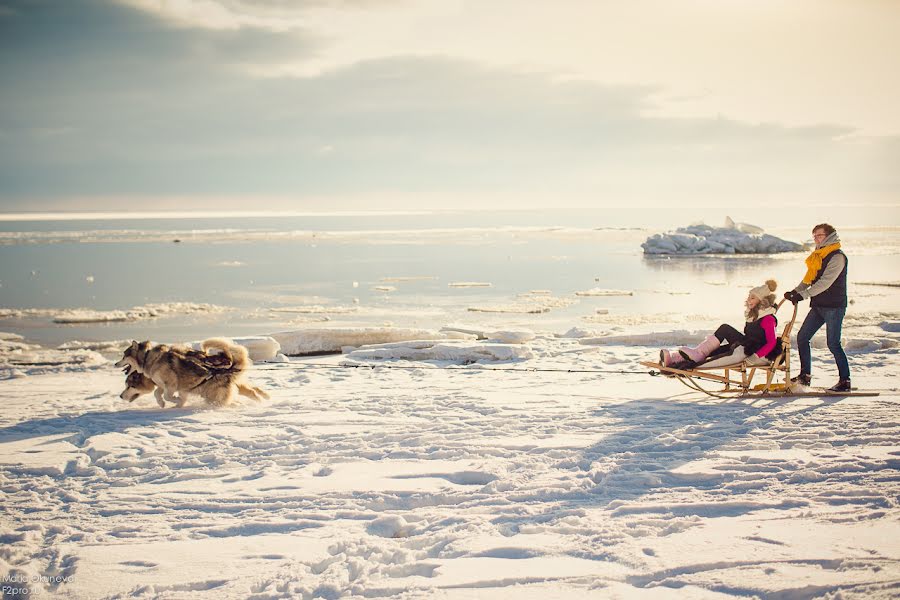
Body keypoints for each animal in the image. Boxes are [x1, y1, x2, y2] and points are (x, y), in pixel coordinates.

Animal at [114, 338, 268, 408]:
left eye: (123, 356)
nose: (115, 364)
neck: (148, 357)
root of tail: (229, 366)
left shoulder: (172, 384)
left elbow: (167, 395)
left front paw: (174, 401)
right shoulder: (170, 386)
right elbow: (159, 393)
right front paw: (166, 404)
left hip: (212, 396)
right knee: (253, 391)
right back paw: (263, 399)